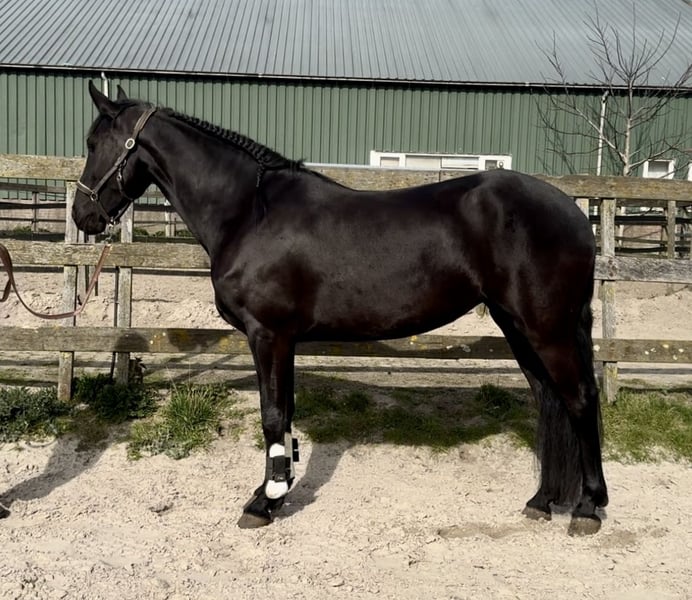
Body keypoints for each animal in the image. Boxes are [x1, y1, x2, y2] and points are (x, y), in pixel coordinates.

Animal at [72, 82, 608, 535]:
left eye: (94, 143)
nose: (83, 215)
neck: (249, 212)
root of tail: (573, 213)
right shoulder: (284, 340)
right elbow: (284, 413)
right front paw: (278, 490)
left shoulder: (267, 334)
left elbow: (271, 414)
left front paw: (263, 503)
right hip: (517, 325)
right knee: (549, 399)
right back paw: (542, 501)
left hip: (548, 328)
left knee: (580, 399)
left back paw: (588, 507)